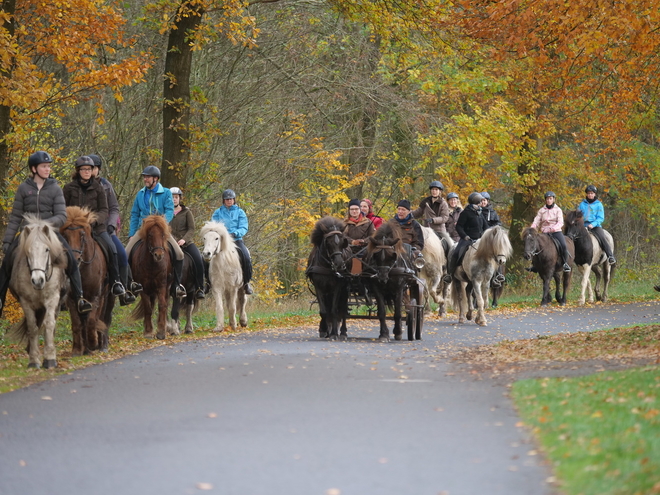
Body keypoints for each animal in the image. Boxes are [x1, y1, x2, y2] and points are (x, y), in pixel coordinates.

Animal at [5, 216, 69, 368]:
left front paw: (50, 358)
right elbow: (32, 328)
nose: (38, 280)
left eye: (47, 249)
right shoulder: (26, 302)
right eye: (28, 251)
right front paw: (34, 360)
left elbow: (49, 324)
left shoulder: (52, 299)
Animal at [60, 206, 112, 356]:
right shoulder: (72, 299)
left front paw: (93, 343)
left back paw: (101, 345)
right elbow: (77, 324)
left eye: (82, 234)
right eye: (65, 236)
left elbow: (92, 321)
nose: (74, 259)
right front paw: (77, 349)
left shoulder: (95, 297)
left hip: (106, 296)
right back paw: (86, 349)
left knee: (103, 317)